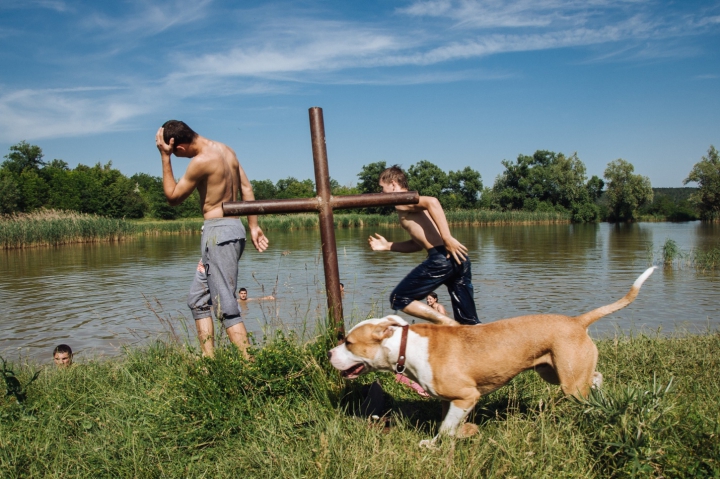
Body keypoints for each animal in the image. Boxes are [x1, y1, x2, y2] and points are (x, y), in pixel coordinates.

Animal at [330, 268, 656, 448]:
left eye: (349, 342)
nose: (330, 352)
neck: (404, 346)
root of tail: (578, 321)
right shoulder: (451, 400)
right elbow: (448, 425)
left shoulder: (466, 396)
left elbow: (445, 429)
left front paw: (437, 445)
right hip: (554, 371)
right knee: (596, 376)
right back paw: (601, 396)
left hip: (569, 383)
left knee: (585, 388)